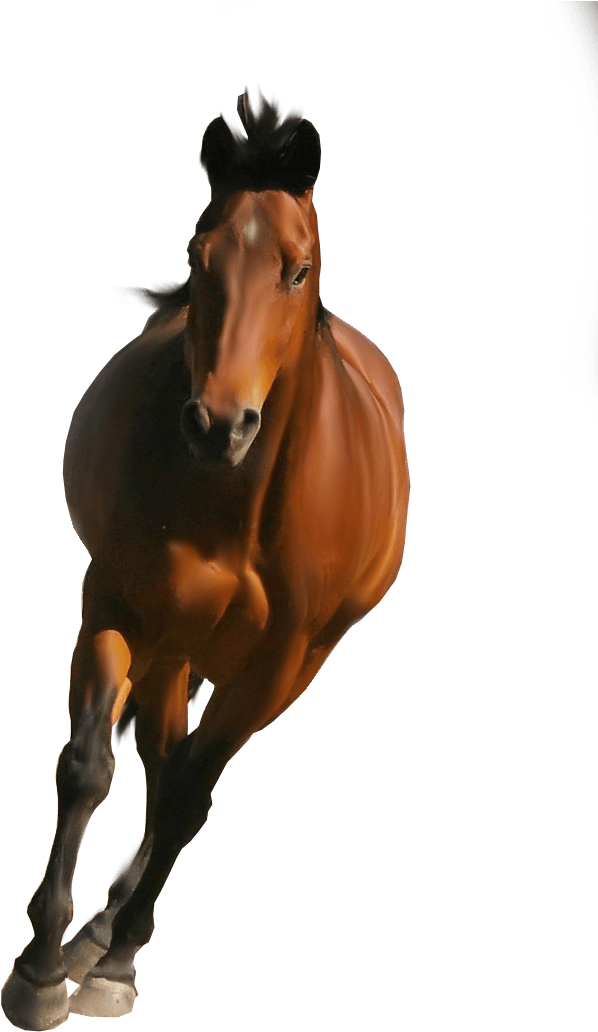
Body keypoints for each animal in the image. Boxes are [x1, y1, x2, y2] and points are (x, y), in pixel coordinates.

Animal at [2, 82, 409, 1030]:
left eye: (297, 268)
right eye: (199, 255)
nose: (218, 424)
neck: (237, 507)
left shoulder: (279, 657)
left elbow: (191, 795)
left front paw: (117, 963)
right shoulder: (119, 605)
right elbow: (88, 768)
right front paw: (40, 968)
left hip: (288, 662)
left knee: (182, 774)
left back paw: (117, 928)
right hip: (174, 645)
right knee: (154, 757)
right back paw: (94, 926)